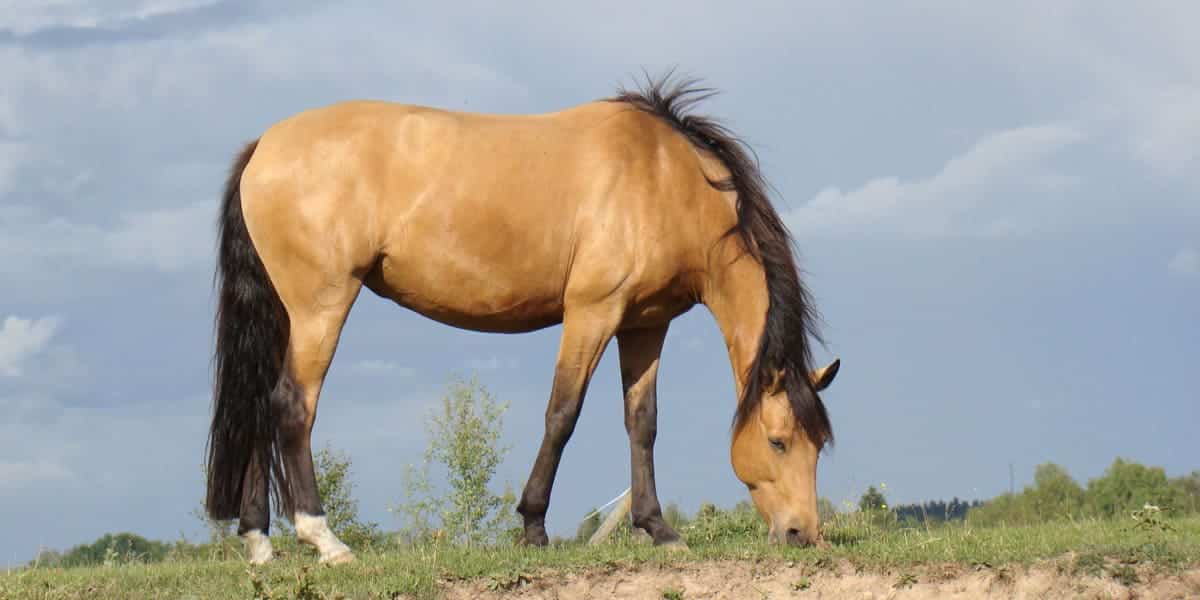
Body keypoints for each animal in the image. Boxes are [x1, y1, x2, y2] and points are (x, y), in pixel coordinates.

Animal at [204, 73, 844, 561]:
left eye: (819, 445)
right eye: (779, 441)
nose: (802, 534)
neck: (665, 178)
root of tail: (263, 147)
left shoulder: (644, 324)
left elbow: (643, 423)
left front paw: (657, 528)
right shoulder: (592, 312)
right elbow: (562, 414)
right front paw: (533, 526)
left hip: (285, 314)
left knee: (261, 403)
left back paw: (260, 543)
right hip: (321, 306)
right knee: (292, 405)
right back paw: (325, 540)